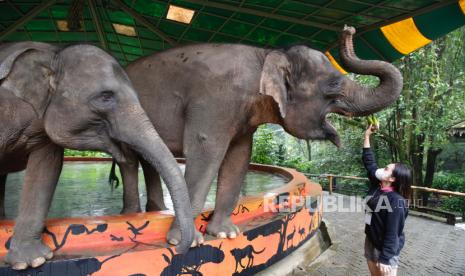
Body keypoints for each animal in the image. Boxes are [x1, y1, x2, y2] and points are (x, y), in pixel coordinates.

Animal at [0, 41, 194, 270]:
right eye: (105, 97)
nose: (176, 247)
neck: (53, 55)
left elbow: (46, 169)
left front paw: (31, 261)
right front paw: (32, 262)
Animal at [114, 25, 400, 245]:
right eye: (334, 85)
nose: (348, 29)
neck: (266, 55)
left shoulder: (242, 117)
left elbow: (238, 158)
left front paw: (226, 234)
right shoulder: (214, 100)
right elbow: (206, 154)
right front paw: (185, 242)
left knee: (146, 161)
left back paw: (154, 210)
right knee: (127, 160)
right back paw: (131, 213)